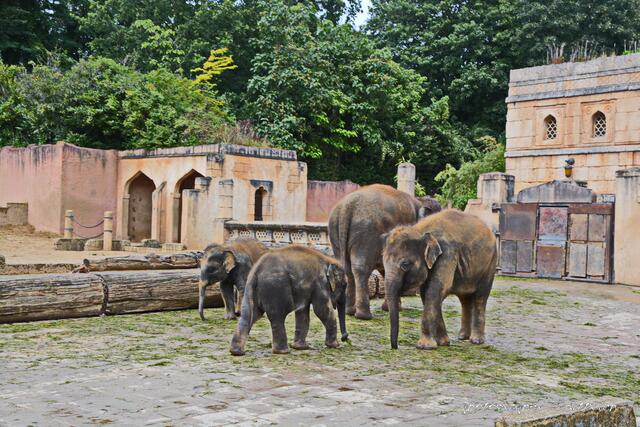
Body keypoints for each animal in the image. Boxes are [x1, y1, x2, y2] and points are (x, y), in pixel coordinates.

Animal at [328, 184, 441, 320]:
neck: (420, 201)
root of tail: (346, 207)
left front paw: (390, 308)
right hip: (367, 233)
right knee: (361, 269)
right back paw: (364, 316)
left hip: (335, 231)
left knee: (347, 269)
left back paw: (349, 312)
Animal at [382, 209, 497, 350]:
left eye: (405, 264)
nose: (395, 347)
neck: (419, 230)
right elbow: (426, 294)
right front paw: (443, 343)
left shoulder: (448, 254)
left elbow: (435, 290)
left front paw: (425, 346)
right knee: (465, 299)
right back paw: (462, 337)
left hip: (490, 264)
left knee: (480, 297)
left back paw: (476, 340)